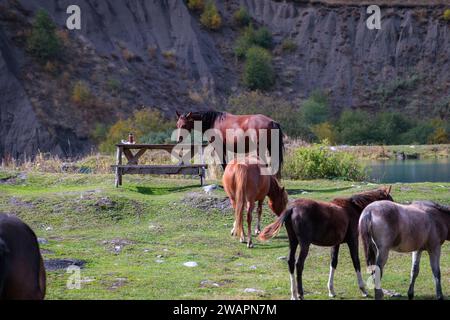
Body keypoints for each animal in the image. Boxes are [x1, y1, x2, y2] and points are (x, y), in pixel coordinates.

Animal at [260, 186, 394, 298]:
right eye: (390, 200)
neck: (352, 208)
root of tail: (292, 209)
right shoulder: (353, 240)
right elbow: (356, 261)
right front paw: (363, 289)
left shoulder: (336, 244)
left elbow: (333, 263)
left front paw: (331, 290)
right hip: (304, 244)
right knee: (299, 264)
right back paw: (300, 293)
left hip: (293, 242)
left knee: (291, 262)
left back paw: (293, 294)